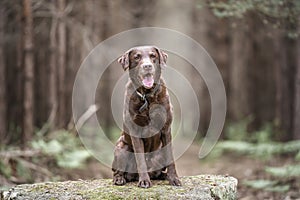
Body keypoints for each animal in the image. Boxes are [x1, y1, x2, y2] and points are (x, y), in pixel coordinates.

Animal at [112, 45, 180, 188]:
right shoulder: (135, 131)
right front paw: (144, 181)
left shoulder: (166, 129)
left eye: (153, 56)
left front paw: (174, 179)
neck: (147, 96)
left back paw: (164, 176)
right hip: (122, 147)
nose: (147, 66)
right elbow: (140, 159)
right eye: (137, 57)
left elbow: (170, 158)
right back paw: (120, 179)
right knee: (117, 171)